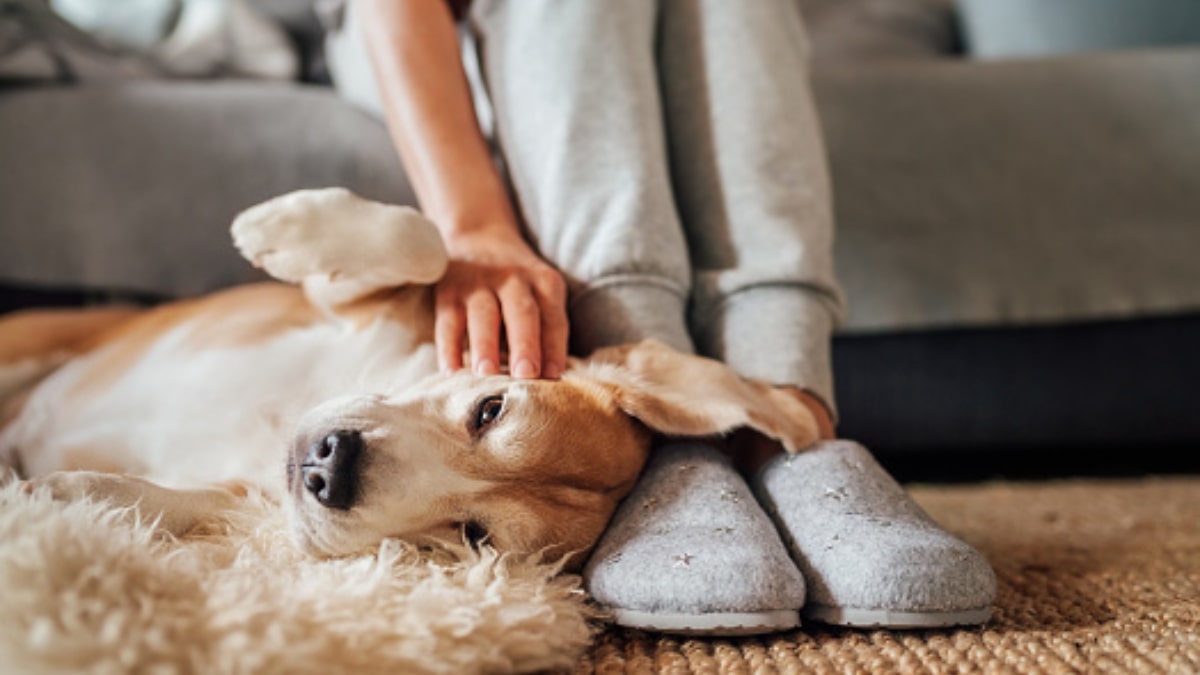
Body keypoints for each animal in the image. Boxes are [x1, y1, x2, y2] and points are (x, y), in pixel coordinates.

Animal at [0, 187, 820, 562]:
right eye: (491, 408)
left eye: (475, 535)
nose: (331, 467)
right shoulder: (352, 304)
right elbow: (422, 242)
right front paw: (281, 228)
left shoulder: (248, 497)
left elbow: (184, 501)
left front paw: (69, 497)